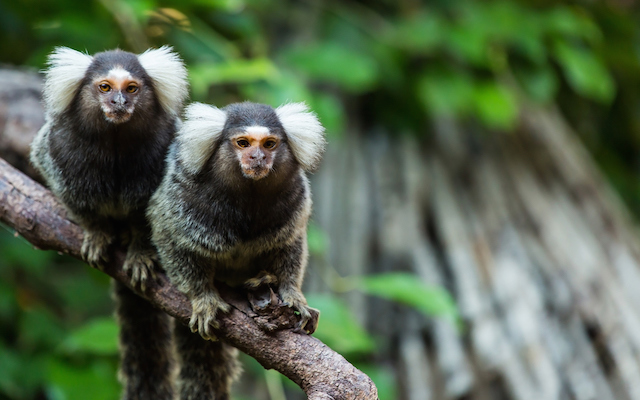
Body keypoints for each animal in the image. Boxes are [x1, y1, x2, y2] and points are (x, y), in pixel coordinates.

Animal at [30, 46, 189, 400]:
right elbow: (72, 194)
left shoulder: (165, 149)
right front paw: (97, 233)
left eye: (131, 88)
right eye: (105, 87)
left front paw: (141, 252)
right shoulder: (60, 148)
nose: (118, 102)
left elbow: (151, 214)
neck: (115, 142)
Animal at [147, 101, 326, 399]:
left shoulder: (295, 200)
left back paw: (262, 279)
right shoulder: (181, 196)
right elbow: (170, 237)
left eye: (269, 144)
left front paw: (293, 295)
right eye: (243, 143)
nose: (257, 157)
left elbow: (290, 244)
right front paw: (203, 297)